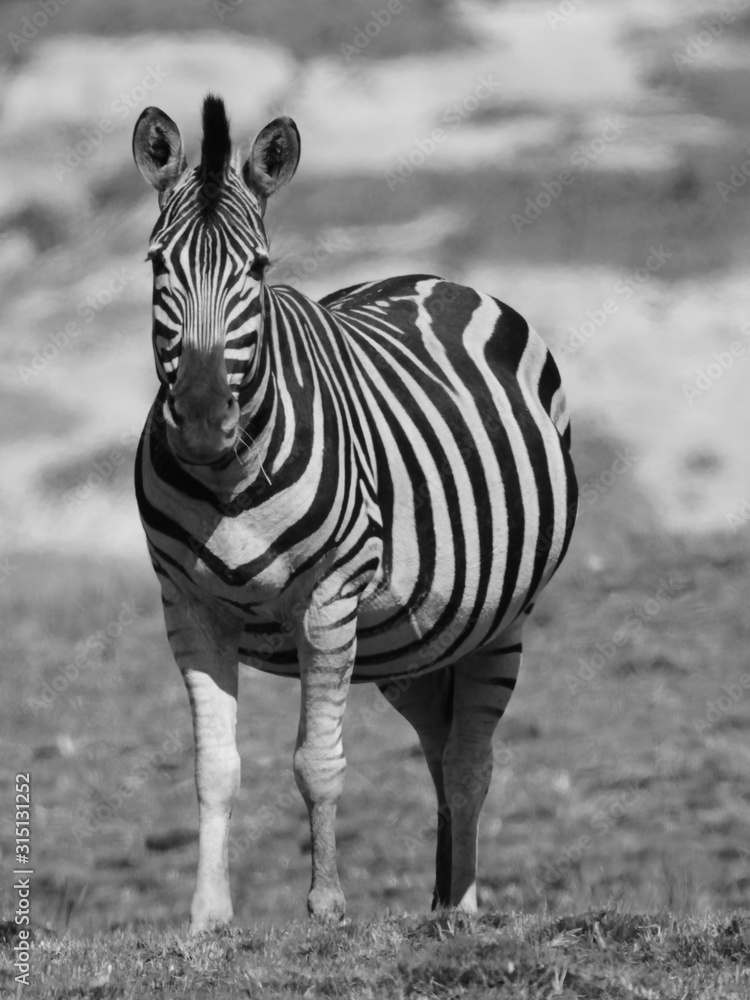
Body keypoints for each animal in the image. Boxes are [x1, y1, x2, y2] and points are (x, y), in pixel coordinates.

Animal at [131, 94, 577, 931]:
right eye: (156, 266)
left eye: (257, 269)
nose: (203, 422)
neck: (228, 483)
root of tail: (434, 279)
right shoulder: (188, 608)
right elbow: (215, 767)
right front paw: (207, 917)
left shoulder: (328, 600)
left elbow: (317, 761)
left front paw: (327, 904)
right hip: (411, 640)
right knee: (439, 747)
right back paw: (439, 900)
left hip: (499, 620)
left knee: (468, 758)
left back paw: (462, 910)